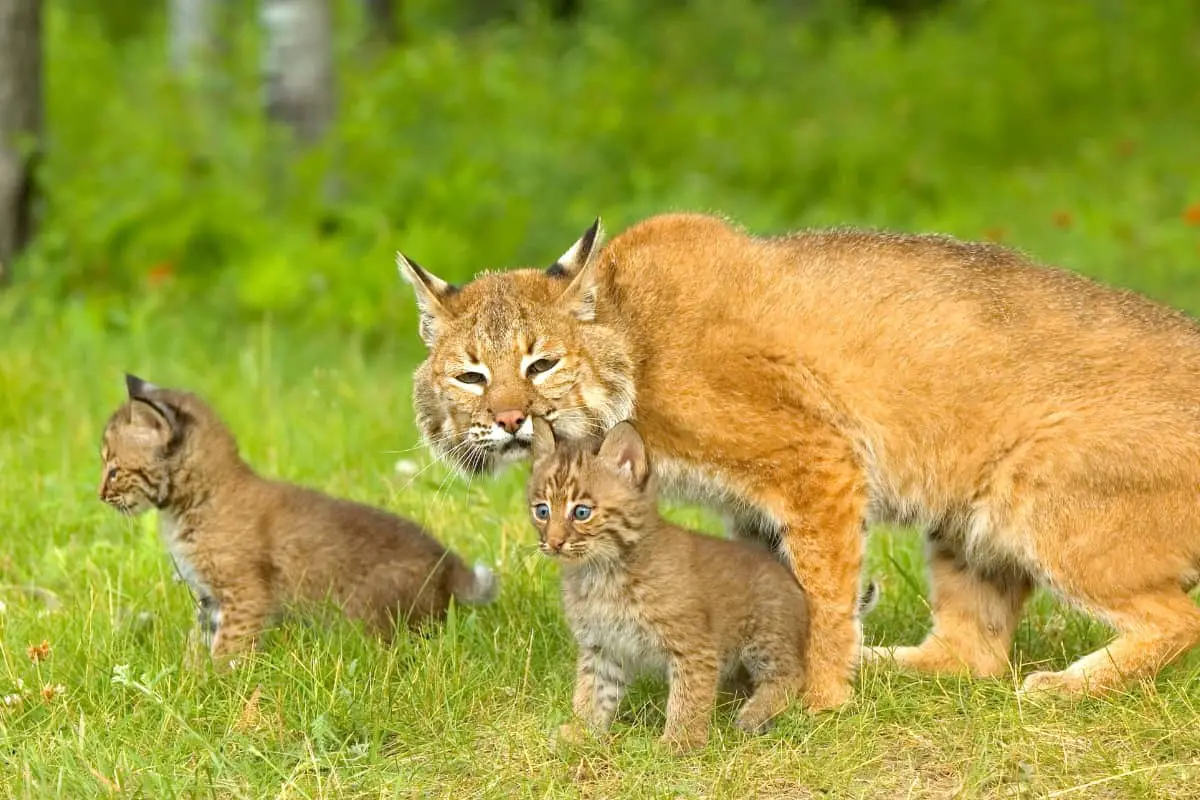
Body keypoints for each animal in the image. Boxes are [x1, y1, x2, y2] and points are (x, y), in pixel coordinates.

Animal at [98, 376, 496, 671]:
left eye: (114, 470)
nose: (101, 495)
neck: (186, 505)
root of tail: (448, 560)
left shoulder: (246, 593)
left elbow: (229, 645)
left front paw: (218, 683)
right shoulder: (208, 597)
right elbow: (200, 640)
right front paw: (190, 675)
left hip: (368, 613)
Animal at [528, 422, 816, 753]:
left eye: (581, 513)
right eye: (542, 511)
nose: (553, 543)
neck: (600, 571)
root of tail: (779, 564)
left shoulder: (693, 646)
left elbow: (688, 696)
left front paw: (679, 743)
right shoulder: (603, 644)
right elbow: (593, 689)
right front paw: (582, 730)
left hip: (765, 636)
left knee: (793, 674)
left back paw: (754, 714)